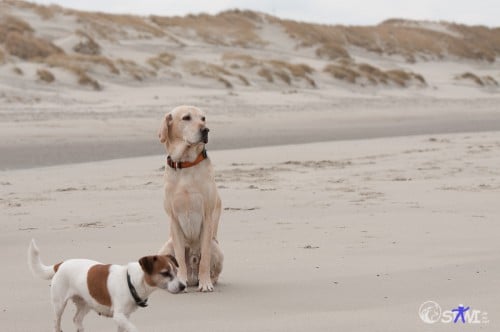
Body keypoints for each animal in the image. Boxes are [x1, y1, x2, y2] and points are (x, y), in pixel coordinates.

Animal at [158, 105, 223, 292]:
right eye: (186, 118)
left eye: (203, 118)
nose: (205, 130)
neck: (186, 164)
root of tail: (193, 276)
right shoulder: (174, 219)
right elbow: (180, 257)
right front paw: (181, 280)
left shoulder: (207, 217)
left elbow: (205, 258)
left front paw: (206, 283)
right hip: (166, 247)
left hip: (216, 247)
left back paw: (205, 280)